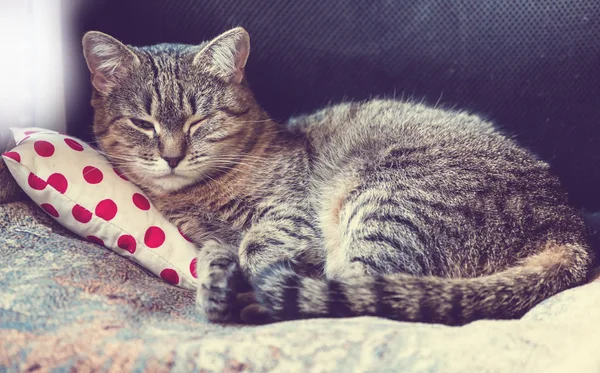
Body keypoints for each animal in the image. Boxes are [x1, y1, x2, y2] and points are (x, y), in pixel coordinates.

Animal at [82, 26, 592, 322]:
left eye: (199, 121)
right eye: (142, 123)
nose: (171, 156)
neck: (199, 196)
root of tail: (567, 227)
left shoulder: (290, 218)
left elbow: (257, 246)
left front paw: (241, 280)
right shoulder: (207, 235)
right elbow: (216, 254)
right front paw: (215, 284)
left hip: (386, 202)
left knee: (356, 295)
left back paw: (259, 303)